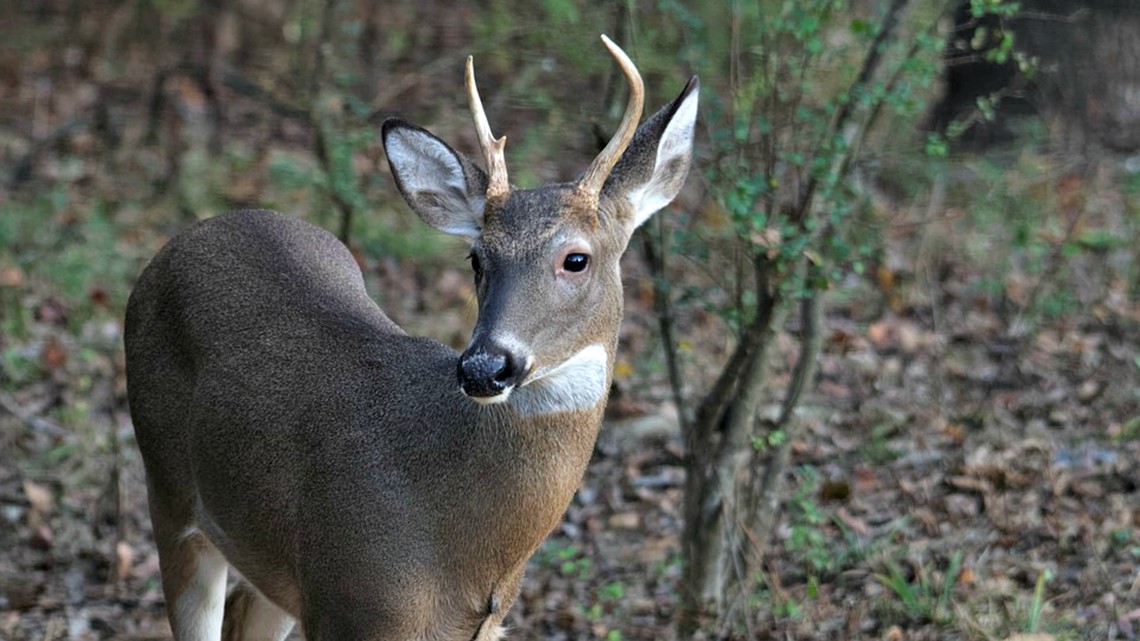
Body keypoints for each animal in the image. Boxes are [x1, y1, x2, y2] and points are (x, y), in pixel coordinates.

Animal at [122, 36, 693, 638]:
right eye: (476, 258)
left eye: (576, 258)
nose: (484, 367)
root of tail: (185, 239)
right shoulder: (347, 602)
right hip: (168, 489)